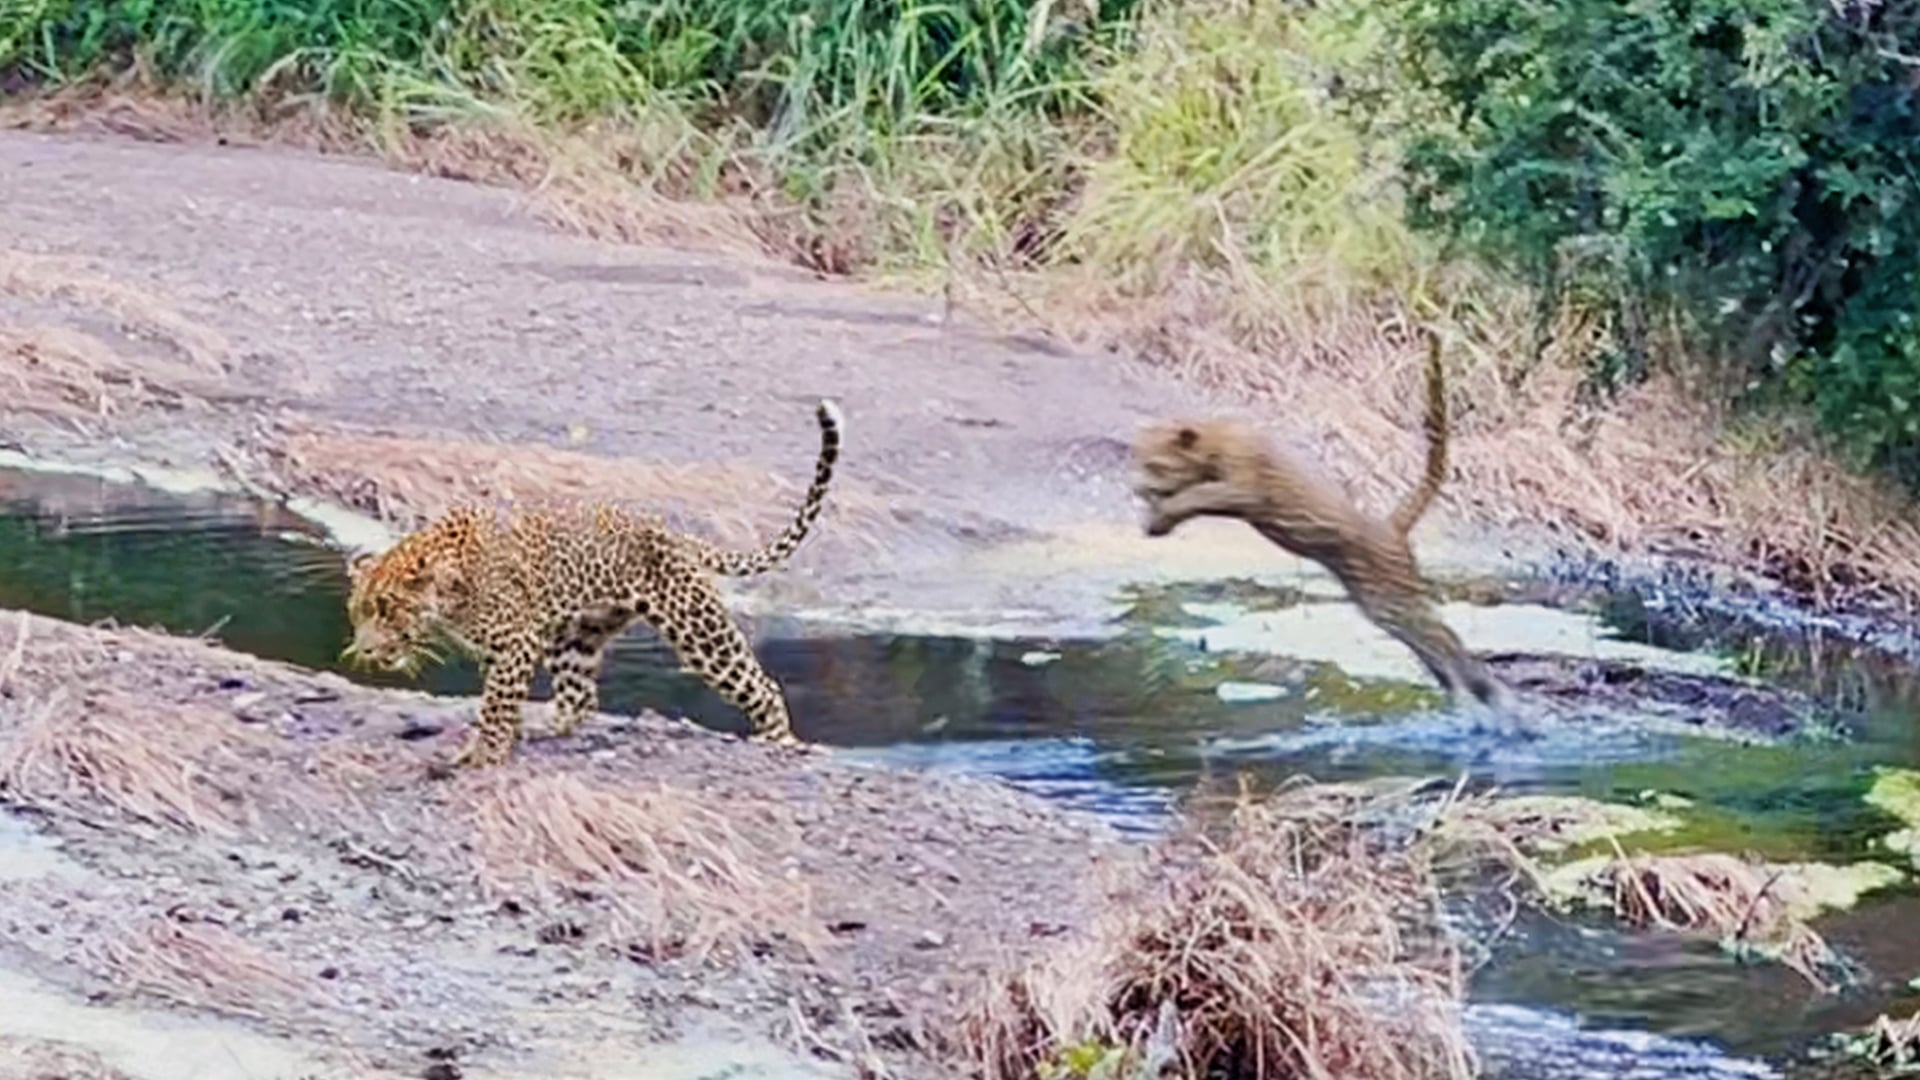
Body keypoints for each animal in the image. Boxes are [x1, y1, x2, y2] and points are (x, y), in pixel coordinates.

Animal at [342, 399, 843, 769]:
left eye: (389, 609)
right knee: (581, 696)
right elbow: (498, 698)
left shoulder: (515, 641)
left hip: (698, 628)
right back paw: (546, 725)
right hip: (576, 635)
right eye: (358, 612)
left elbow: (496, 702)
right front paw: (505, 736)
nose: (365, 650)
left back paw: (780, 742)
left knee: (761, 685)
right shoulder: (504, 649)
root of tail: (675, 535)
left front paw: (486, 752)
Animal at [1129, 330, 1513, 714]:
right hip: (1374, 599)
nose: (1137, 487)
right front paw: (1156, 518)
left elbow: (1200, 496)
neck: (1215, 441)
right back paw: (1457, 689)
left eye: (1156, 465)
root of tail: (1390, 525)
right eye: (1142, 460)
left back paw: (1485, 691)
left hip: (1392, 591)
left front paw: (1161, 515)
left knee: (1443, 636)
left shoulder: (1246, 489)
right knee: (1424, 641)